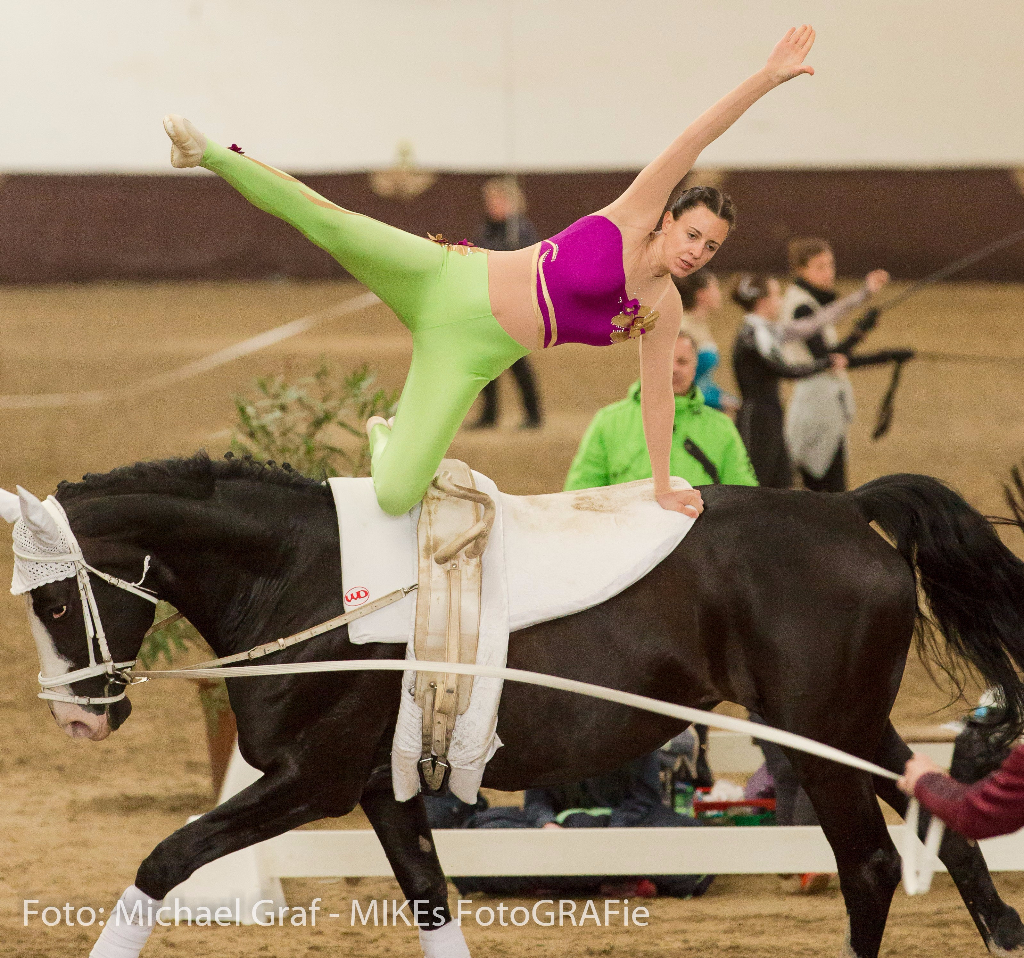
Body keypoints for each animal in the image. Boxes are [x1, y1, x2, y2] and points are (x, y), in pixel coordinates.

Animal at [12, 450, 1024, 958]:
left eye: (54, 602)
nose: (78, 716)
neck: (304, 576)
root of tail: (848, 508)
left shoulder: (312, 781)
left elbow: (163, 862)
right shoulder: (384, 788)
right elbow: (430, 899)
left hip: (815, 737)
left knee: (871, 869)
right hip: (853, 729)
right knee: (950, 828)